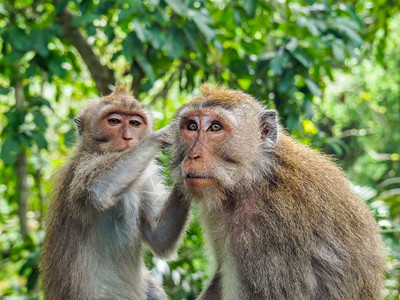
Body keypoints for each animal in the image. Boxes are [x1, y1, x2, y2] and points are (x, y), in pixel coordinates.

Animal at [40, 86, 191, 300]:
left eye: (135, 123)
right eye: (114, 121)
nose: (128, 137)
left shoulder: (146, 175)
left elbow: (159, 238)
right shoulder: (83, 168)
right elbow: (96, 188)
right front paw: (165, 134)